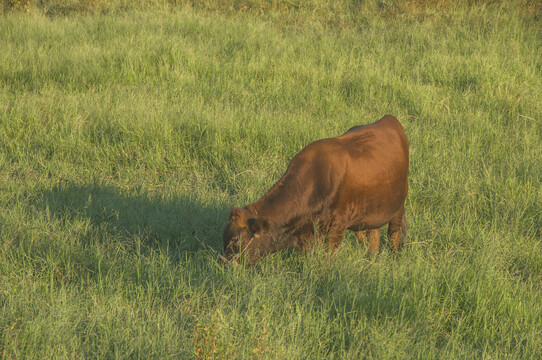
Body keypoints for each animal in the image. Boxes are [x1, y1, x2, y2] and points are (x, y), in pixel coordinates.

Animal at [219, 115, 410, 264]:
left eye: (236, 239)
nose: (224, 263)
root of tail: (389, 120)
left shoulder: (337, 226)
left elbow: (327, 256)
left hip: (397, 207)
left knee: (394, 235)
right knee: (372, 237)